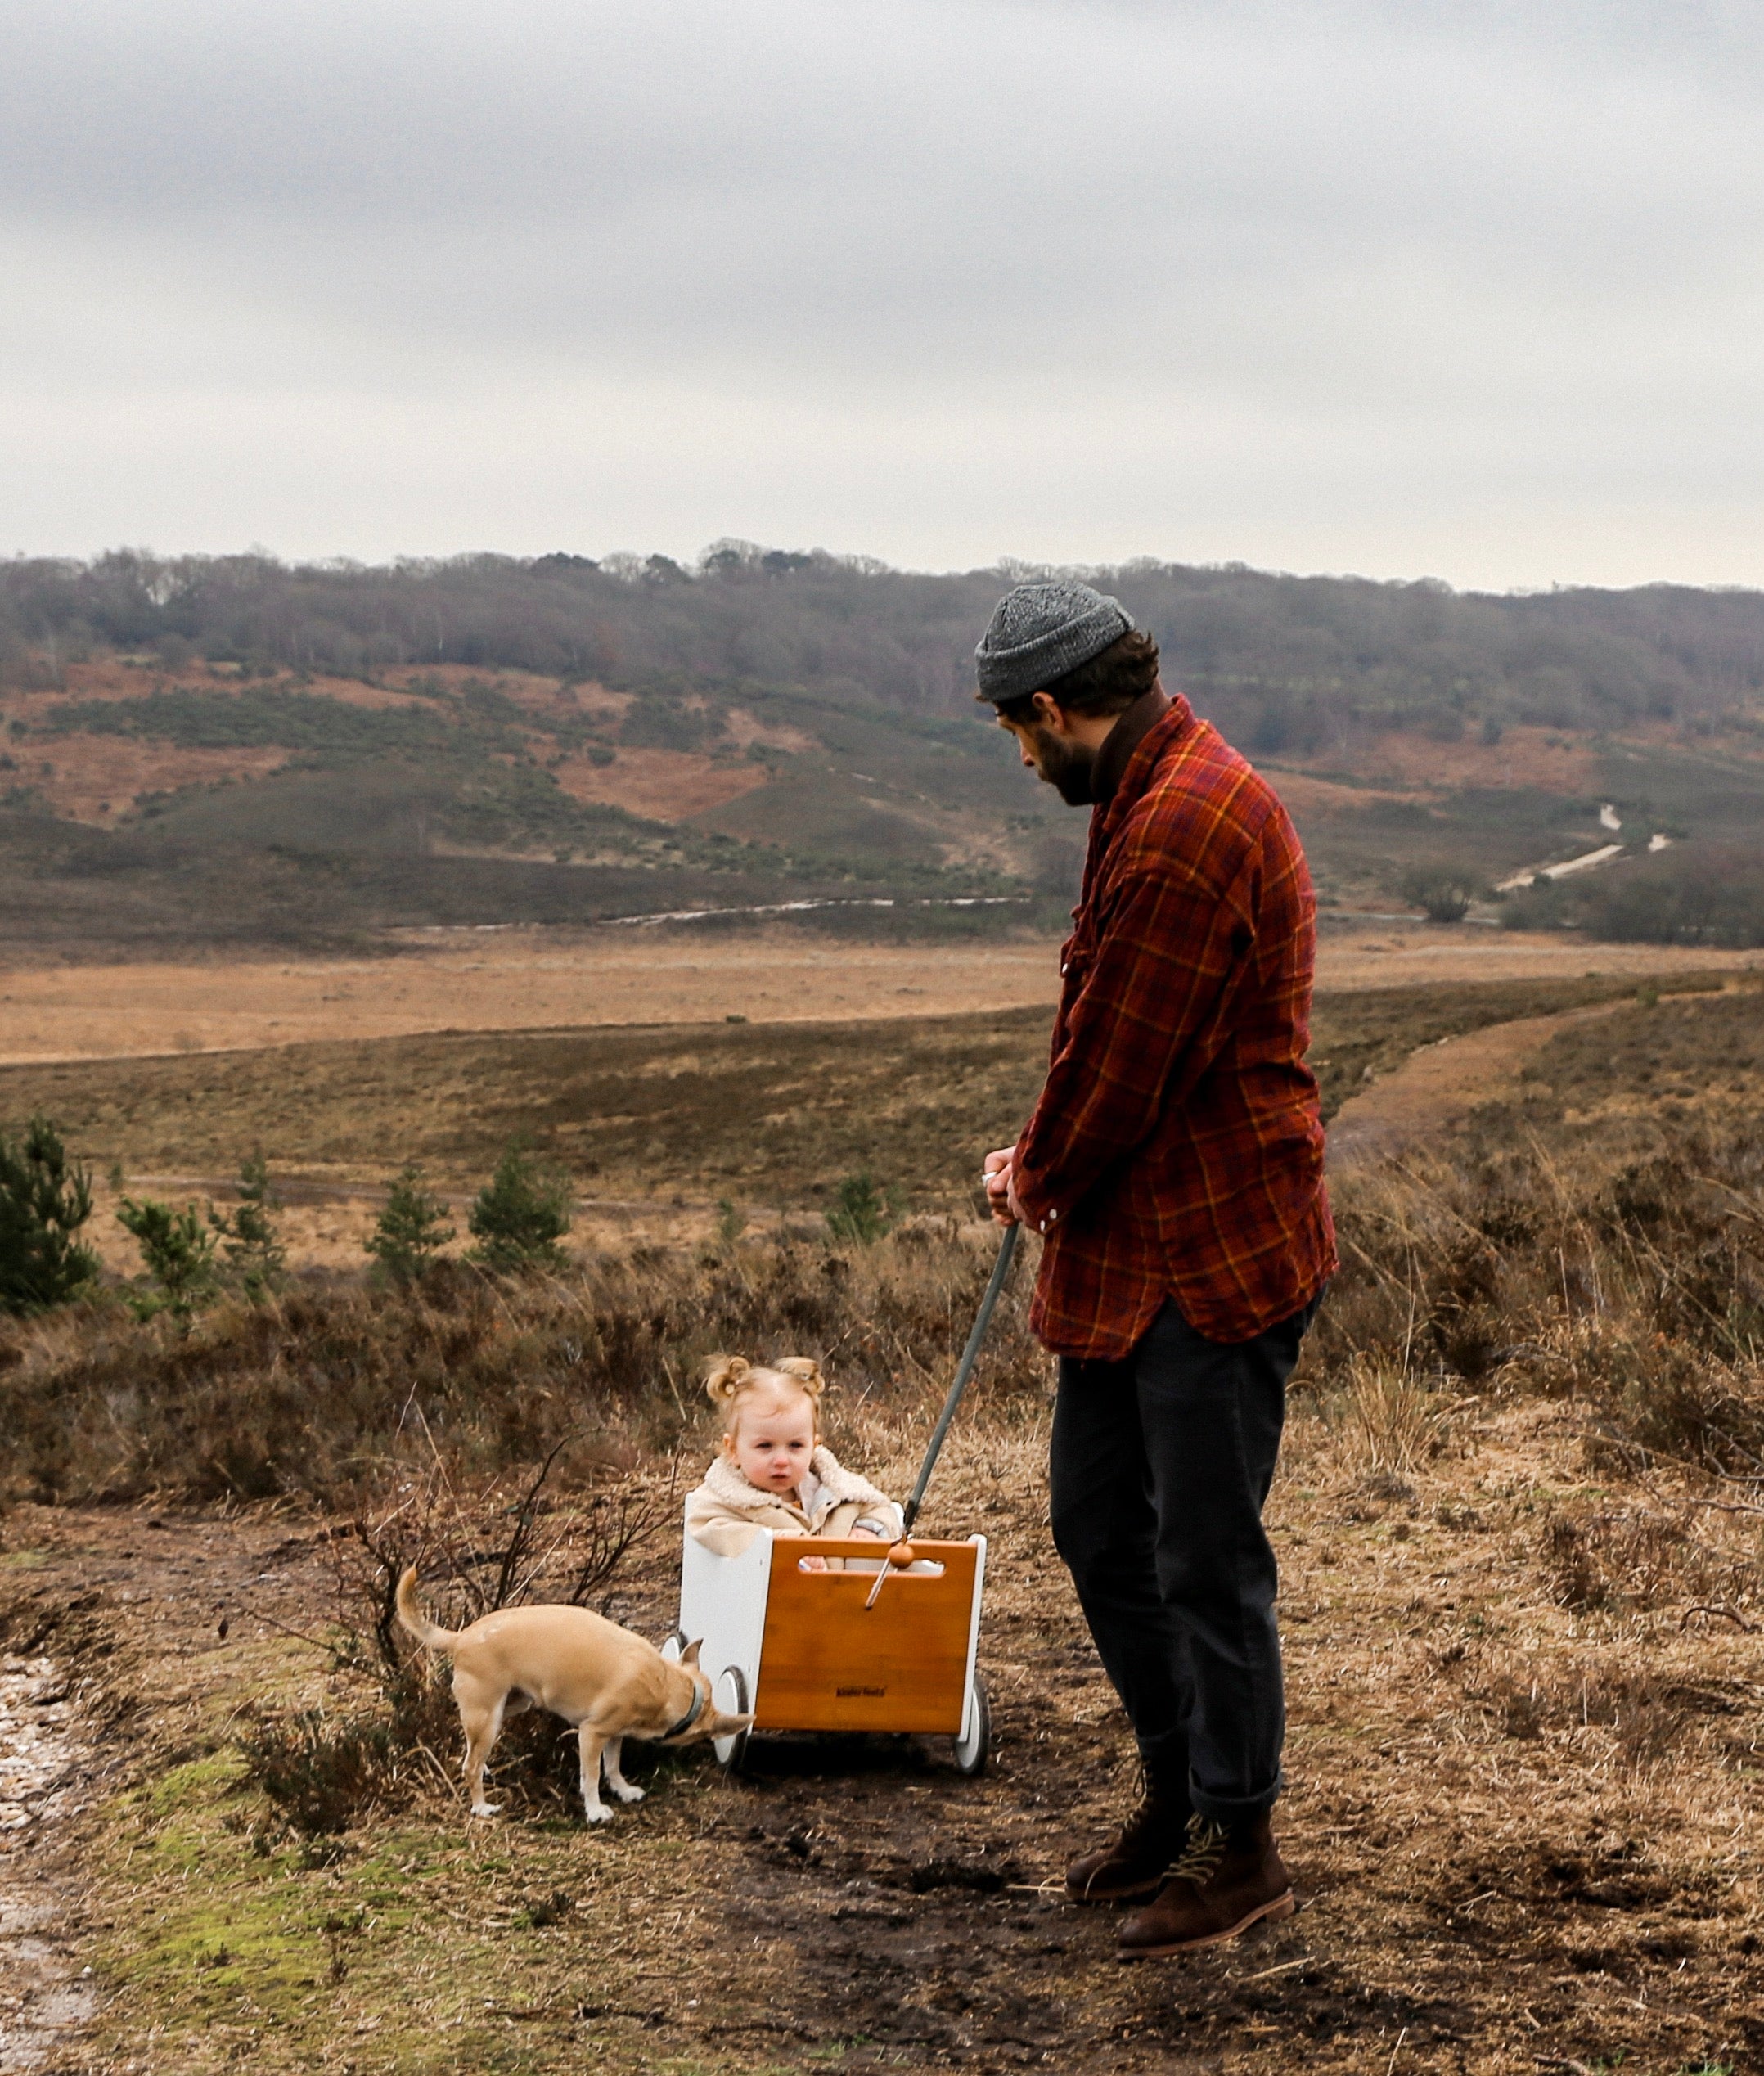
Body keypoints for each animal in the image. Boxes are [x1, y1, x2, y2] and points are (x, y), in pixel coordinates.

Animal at [392, 1569, 751, 1818]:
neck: (669, 1684)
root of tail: (461, 1637)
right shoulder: (592, 1733)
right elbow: (590, 1776)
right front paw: (595, 1810)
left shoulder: (613, 1735)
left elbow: (613, 1766)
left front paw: (623, 1790)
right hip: (488, 1716)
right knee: (468, 1765)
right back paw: (481, 1808)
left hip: (511, 1705)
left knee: (470, 1750)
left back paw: (483, 1768)